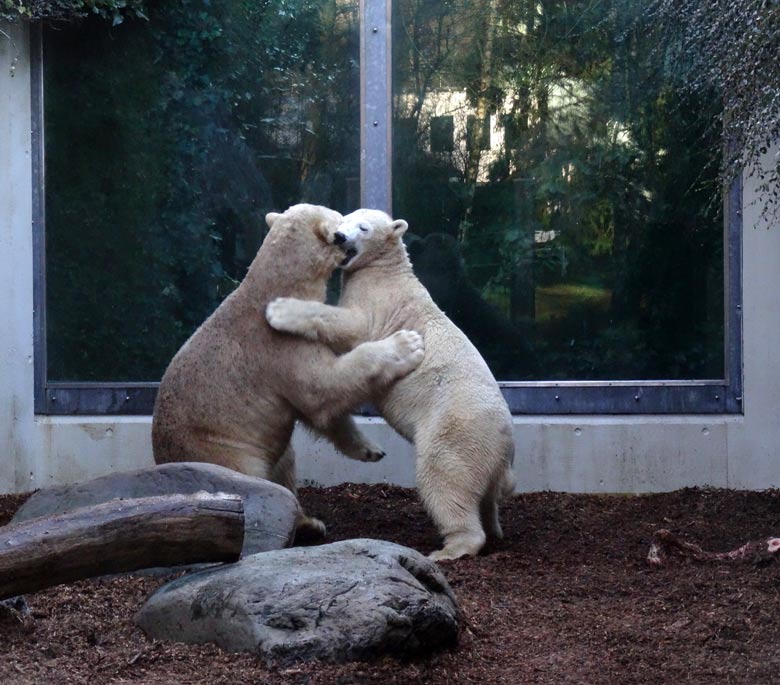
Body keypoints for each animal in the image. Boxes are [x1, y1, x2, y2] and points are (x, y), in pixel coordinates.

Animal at [150, 203, 424, 536]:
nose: (346, 235)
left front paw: (370, 449)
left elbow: (320, 411)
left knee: (285, 462)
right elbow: (324, 387)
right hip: (220, 450)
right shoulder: (281, 344)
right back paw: (304, 525)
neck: (273, 290)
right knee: (252, 478)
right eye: (342, 219)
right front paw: (407, 344)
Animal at [266, 210, 516, 560]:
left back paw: (451, 548)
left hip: (459, 430)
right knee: (486, 496)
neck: (385, 268)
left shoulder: (380, 304)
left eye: (363, 227)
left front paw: (280, 309)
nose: (340, 237)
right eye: (343, 220)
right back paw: (493, 529)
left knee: (445, 477)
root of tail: (507, 444)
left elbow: (351, 325)